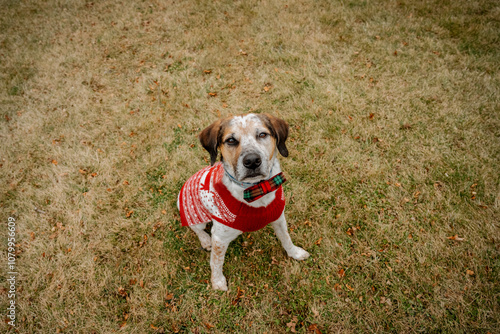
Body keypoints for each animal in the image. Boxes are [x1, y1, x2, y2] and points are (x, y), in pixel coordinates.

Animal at [176, 113, 308, 290]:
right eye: (231, 140)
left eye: (262, 134)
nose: (252, 161)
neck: (257, 189)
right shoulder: (219, 238)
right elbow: (216, 262)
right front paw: (217, 282)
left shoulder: (279, 218)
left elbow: (286, 238)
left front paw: (295, 253)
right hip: (195, 216)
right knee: (196, 229)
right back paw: (205, 241)